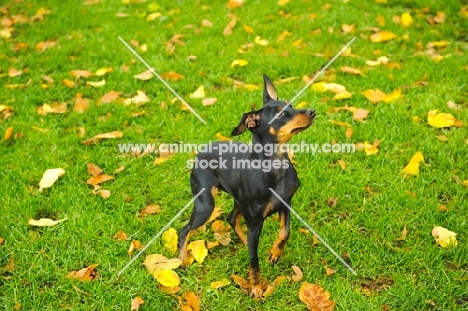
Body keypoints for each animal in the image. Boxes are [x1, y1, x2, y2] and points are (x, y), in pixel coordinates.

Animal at [178, 74, 314, 298]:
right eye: (280, 114)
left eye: (291, 105)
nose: (312, 111)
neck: (274, 167)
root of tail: (201, 151)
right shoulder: (256, 221)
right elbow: (253, 260)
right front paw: (256, 288)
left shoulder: (286, 204)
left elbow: (284, 232)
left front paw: (274, 253)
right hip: (205, 205)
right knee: (185, 230)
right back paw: (180, 261)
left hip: (239, 200)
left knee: (232, 218)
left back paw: (244, 241)